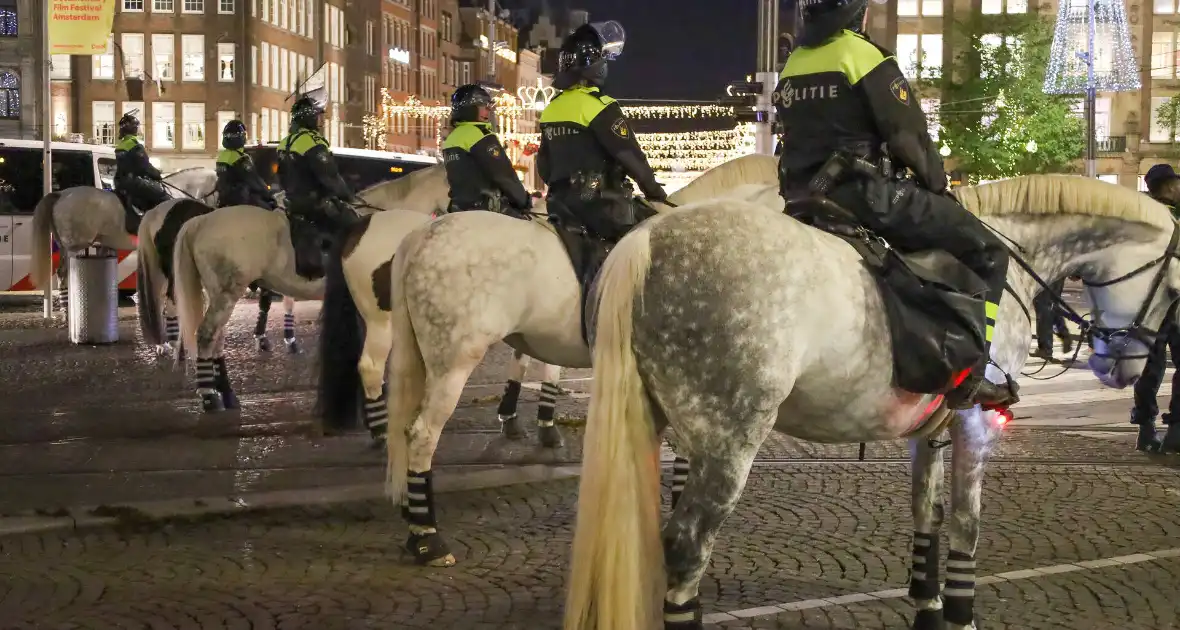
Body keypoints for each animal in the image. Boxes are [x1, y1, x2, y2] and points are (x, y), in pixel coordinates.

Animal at [561, 174, 1180, 630]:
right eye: (1175, 290)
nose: (1122, 368)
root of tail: (647, 239)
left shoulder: (931, 427)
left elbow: (926, 509)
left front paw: (928, 603)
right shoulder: (977, 421)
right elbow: (966, 521)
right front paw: (959, 613)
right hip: (729, 437)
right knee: (688, 544)